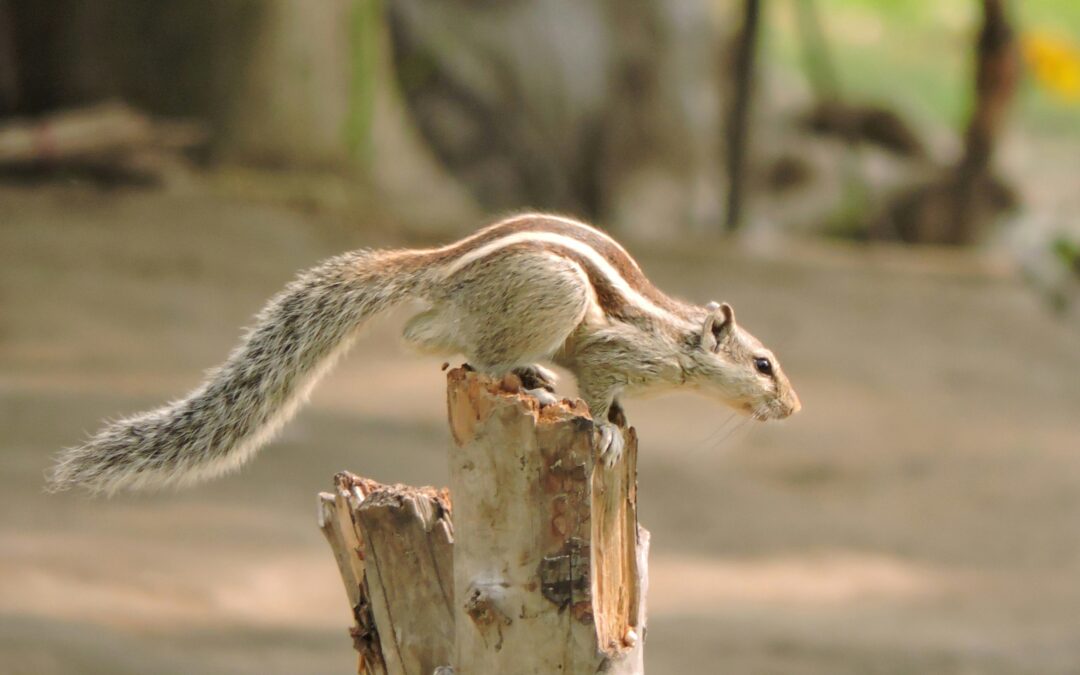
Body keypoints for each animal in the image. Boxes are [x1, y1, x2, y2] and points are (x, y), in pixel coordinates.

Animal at [47, 213, 801, 495]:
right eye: (763, 364)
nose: (794, 407)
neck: (674, 337)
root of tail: (442, 266)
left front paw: (621, 423)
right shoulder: (609, 350)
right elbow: (597, 389)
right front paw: (608, 430)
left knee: (428, 336)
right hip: (554, 291)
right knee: (463, 349)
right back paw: (529, 378)